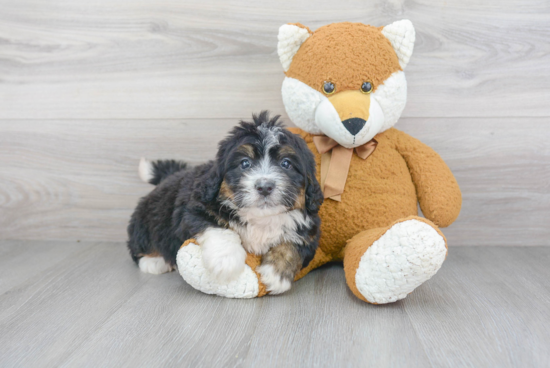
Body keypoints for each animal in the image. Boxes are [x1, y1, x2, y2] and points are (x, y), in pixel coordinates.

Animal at [128, 110, 328, 294]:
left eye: (286, 163)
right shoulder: (195, 209)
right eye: (245, 163)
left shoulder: (310, 230)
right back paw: (153, 260)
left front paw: (276, 273)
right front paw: (226, 261)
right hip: (146, 219)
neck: (260, 218)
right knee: (139, 243)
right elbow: (219, 228)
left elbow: (293, 245)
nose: (264, 186)